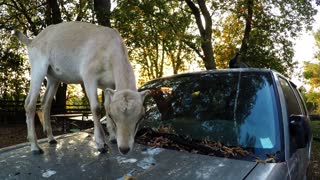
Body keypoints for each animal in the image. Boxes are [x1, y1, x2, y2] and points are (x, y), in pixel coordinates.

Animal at [14, 21, 149, 155]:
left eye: (140, 118)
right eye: (112, 117)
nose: (124, 149)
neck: (109, 50)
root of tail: (32, 41)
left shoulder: (108, 85)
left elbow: (106, 105)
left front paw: (113, 138)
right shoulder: (89, 76)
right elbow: (96, 108)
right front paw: (101, 145)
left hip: (53, 77)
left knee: (46, 102)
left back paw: (51, 138)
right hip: (38, 67)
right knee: (29, 104)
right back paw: (35, 147)